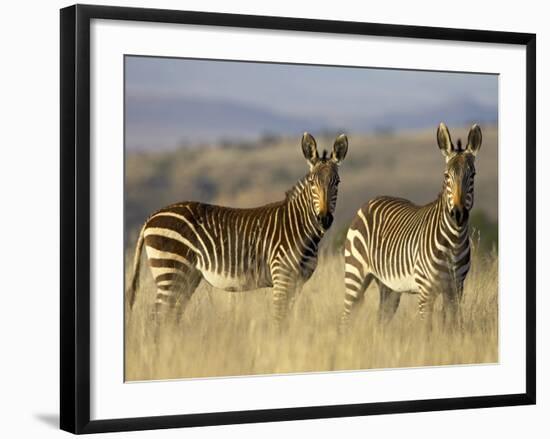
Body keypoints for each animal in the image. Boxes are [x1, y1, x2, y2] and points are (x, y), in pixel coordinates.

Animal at [127, 132, 348, 328]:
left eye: (337, 182)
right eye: (312, 182)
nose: (324, 219)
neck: (299, 227)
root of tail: (152, 216)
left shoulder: (298, 282)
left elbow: (286, 319)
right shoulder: (282, 276)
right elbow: (278, 320)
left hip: (186, 277)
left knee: (170, 317)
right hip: (170, 271)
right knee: (157, 319)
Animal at [340, 124, 484, 330]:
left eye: (472, 176)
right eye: (446, 176)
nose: (458, 214)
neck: (454, 242)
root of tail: (369, 201)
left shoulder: (456, 289)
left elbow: (453, 327)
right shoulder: (426, 291)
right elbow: (427, 330)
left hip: (388, 286)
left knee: (381, 319)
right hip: (355, 273)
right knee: (345, 317)